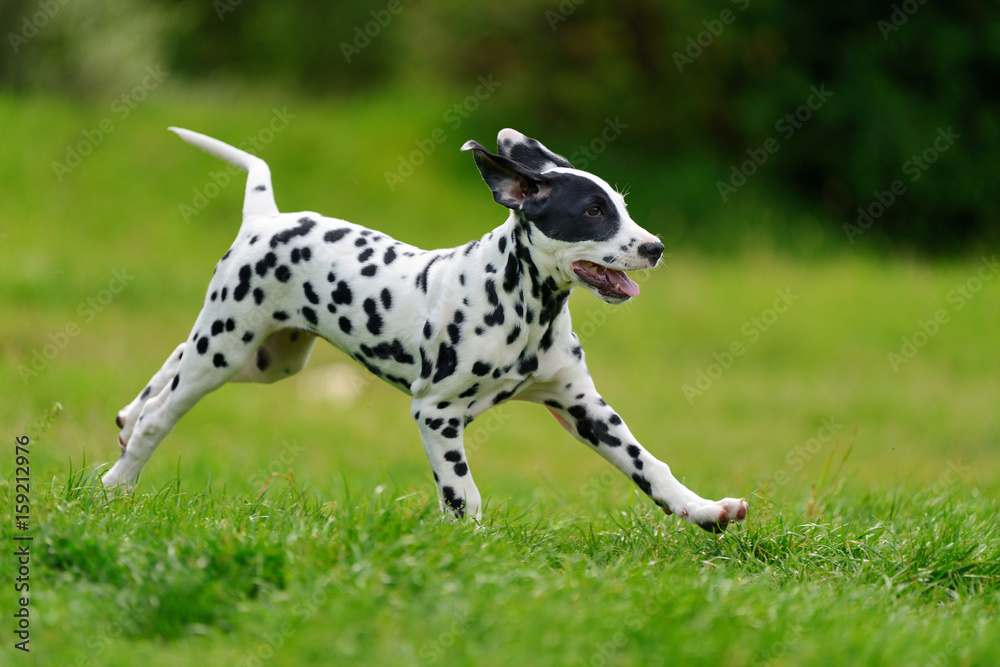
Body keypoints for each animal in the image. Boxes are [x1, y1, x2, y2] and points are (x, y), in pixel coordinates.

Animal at [103, 124, 752, 532]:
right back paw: (117, 481)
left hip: (266, 359)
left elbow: (650, 467)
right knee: (164, 413)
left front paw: (704, 511)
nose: (655, 247)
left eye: (622, 205)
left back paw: (127, 418)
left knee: (171, 363)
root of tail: (266, 217)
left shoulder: (585, 408)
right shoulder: (436, 414)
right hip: (229, 345)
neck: (523, 309)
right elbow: (462, 493)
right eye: (593, 212)